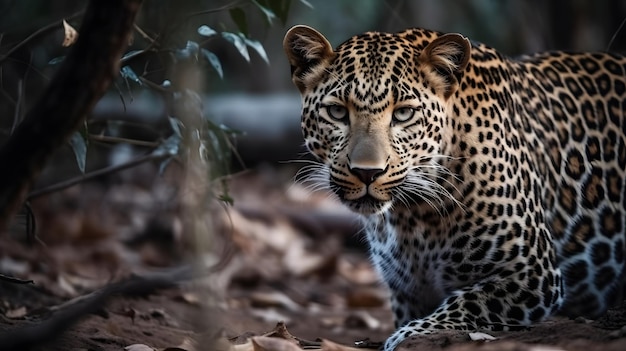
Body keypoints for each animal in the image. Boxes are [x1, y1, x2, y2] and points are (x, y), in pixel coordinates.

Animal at [282, 25, 624, 351]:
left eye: (403, 113)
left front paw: (404, 337)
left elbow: (463, 305)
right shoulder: (408, 291)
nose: (368, 173)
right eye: (337, 112)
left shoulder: (532, 272)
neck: (412, 216)